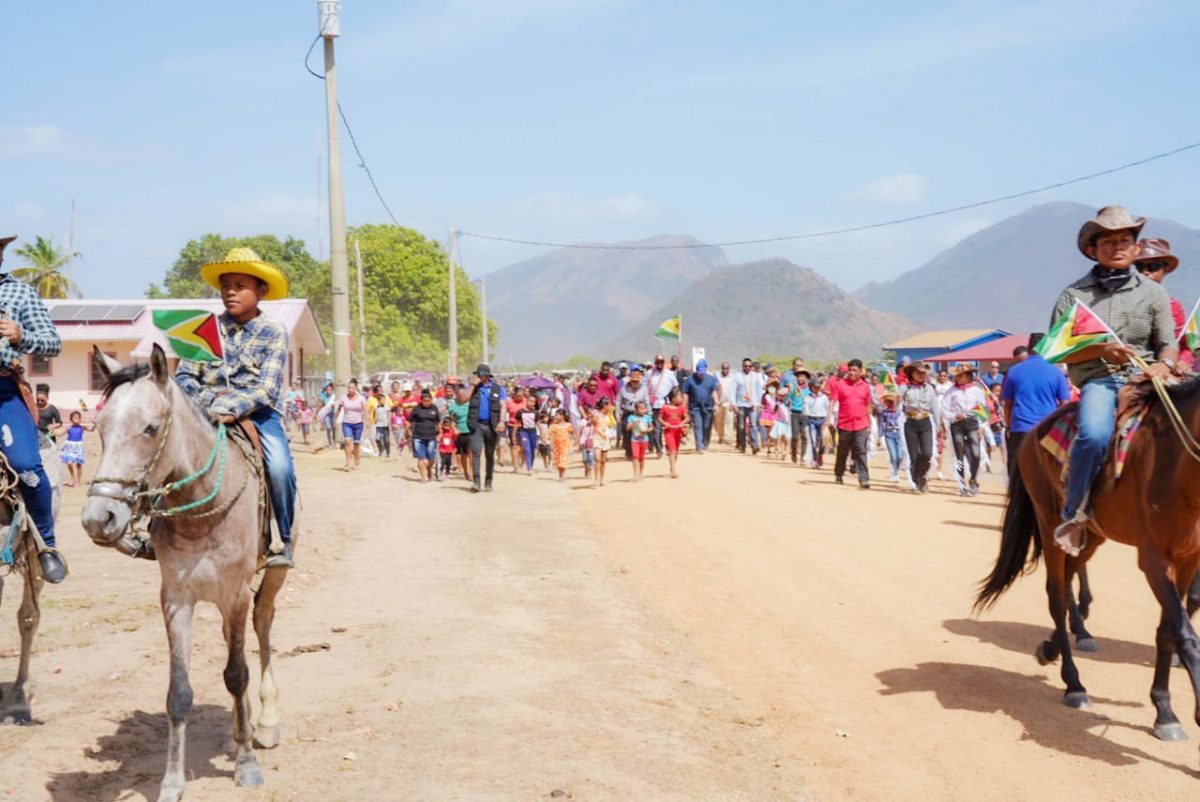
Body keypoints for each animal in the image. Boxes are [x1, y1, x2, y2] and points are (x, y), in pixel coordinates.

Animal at [974, 379, 1200, 744]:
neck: (1176, 465)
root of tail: (1034, 432)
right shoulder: (1154, 561)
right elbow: (1185, 634)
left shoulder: (1188, 558)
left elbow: (1169, 629)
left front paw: (1164, 711)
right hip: (1049, 522)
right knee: (1056, 597)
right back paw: (1074, 684)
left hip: (1090, 535)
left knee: (1067, 586)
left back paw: (1054, 647)